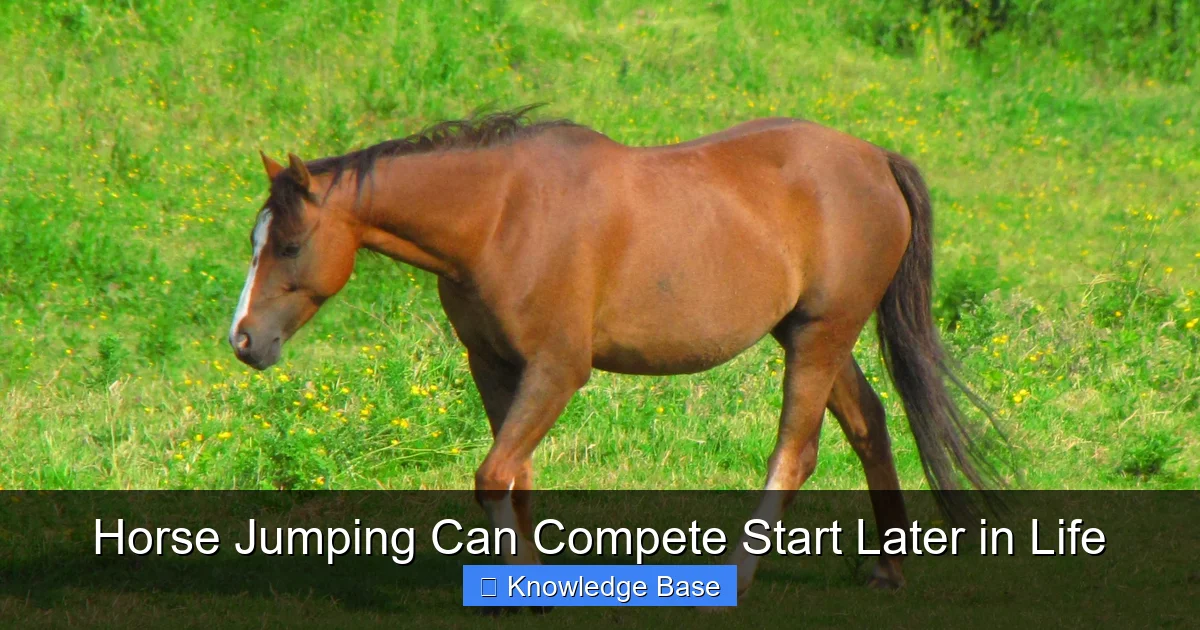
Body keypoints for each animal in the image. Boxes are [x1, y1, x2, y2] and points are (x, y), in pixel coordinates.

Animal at [228, 106, 1002, 592]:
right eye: (255, 241)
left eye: (290, 244)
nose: (244, 340)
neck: (501, 217)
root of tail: (875, 159)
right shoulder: (495, 367)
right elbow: (515, 477)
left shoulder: (558, 370)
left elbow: (492, 475)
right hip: (812, 334)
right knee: (869, 424)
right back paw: (889, 568)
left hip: (821, 335)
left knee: (796, 451)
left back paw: (740, 574)